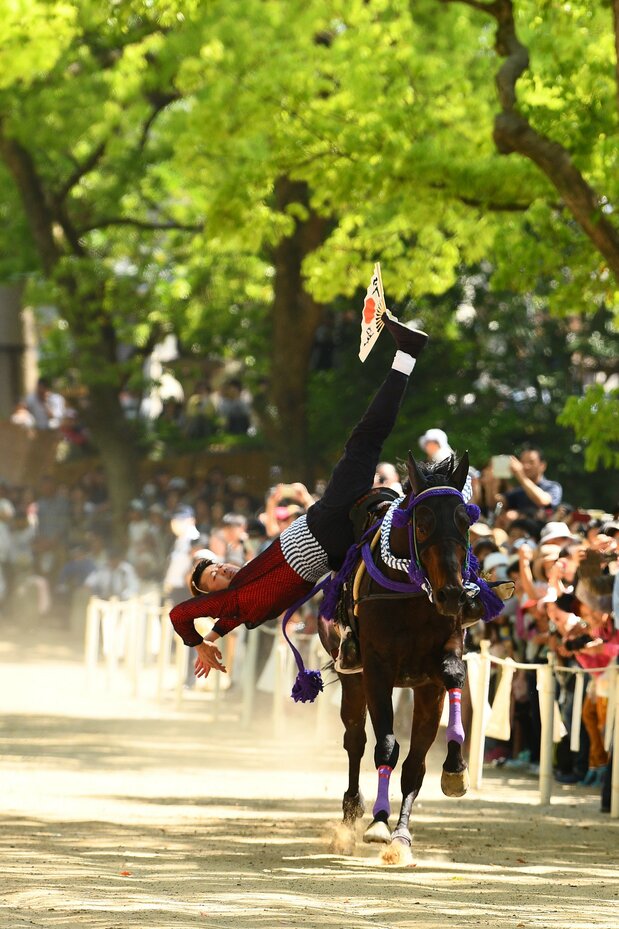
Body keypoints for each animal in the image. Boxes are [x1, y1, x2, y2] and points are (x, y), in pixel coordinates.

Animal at [318, 450, 484, 864]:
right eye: (422, 522)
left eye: (465, 520)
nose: (453, 594)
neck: (411, 597)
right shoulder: (377, 669)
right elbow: (386, 744)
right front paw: (378, 823)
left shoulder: (435, 674)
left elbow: (417, 761)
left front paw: (454, 770)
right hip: (352, 677)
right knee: (355, 739)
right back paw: (351, 816)